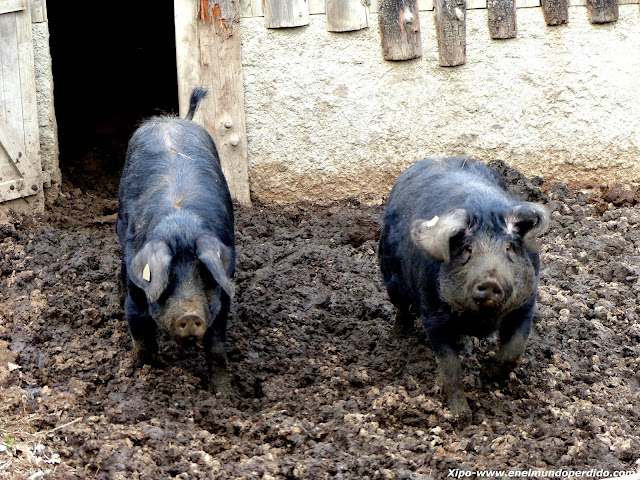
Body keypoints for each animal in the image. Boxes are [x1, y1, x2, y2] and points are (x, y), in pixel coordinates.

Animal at [116, 87, 235, 390]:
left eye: (204, 273)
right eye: (167, 276)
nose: (190, 316)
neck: (182, 226)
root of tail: (173, 119)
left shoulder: (223, 291)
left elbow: (216, 346)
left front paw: (223, 392)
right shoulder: (136, 293)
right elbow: (142, 340)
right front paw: (148, 375)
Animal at [378, 158, 548, 422]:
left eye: (509, 248)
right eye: (468, 249)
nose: (490, 280)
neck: (482, 318)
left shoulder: (525, 306)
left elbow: (514, 351)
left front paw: (485, 375)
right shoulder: (432, 315)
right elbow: (450, 367)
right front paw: (461, 416)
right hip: (392, 280)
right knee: (402, 310)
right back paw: (397, 338)